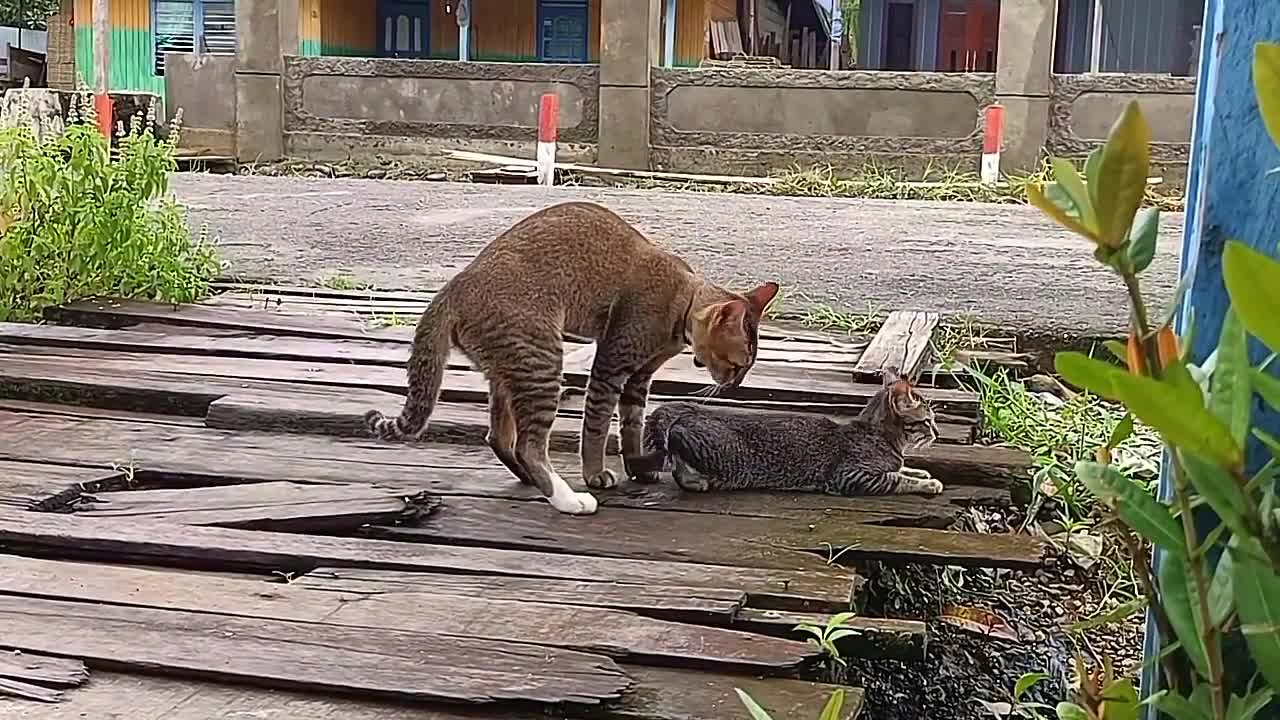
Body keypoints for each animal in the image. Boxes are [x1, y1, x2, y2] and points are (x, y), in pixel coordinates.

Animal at [366, 202, 773, 512]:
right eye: (737, 365)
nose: (735, 384)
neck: (682, 296)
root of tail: (451, 289)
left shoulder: (639, 378)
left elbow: (632, 426)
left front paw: (638, 467)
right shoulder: (612, 364)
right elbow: (597, 425)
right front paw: (596, 473)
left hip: (508, 372)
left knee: (500, 437)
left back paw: (534, 481)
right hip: (541, 361)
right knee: (528, 446)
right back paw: (568, 499)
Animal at [624, 368, 947, 491]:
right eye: (928, 420)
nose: (937, 433)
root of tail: (692, 409)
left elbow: (903, 469)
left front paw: (920, 472)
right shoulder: (851, 476)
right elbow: (897, 479)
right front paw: (926, 484)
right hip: (723, 456)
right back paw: (694, 481)